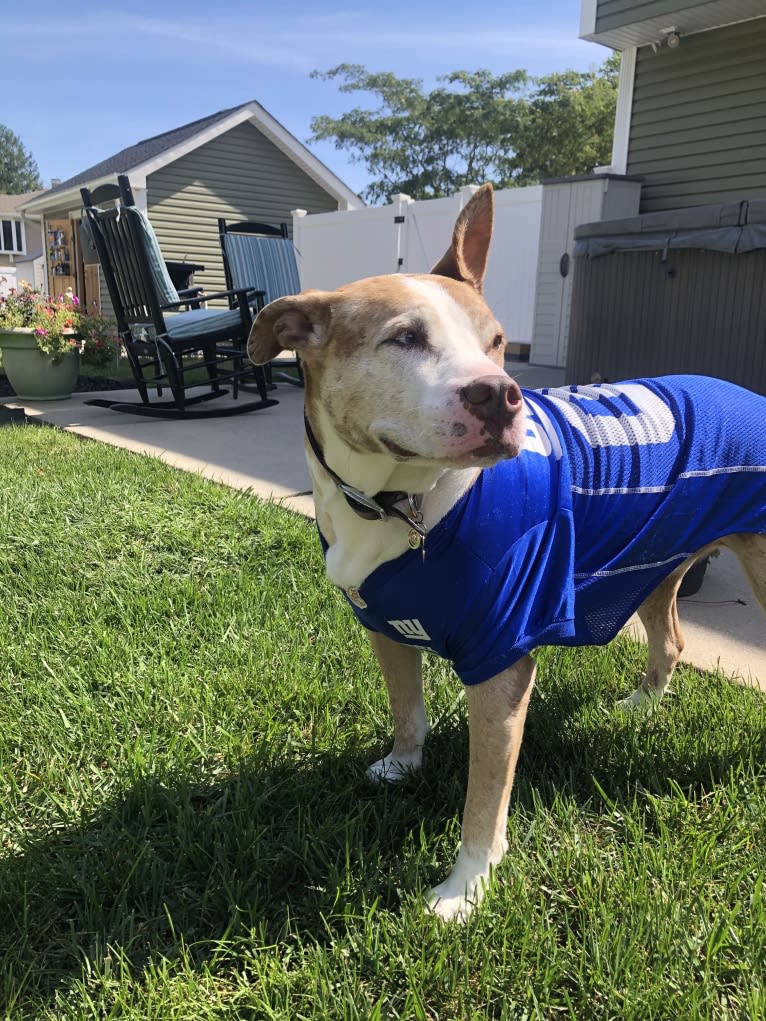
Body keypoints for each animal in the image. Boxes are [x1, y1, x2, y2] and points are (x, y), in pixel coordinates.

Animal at [250, 185, 766, 927]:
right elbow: (406, 708)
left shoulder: (502, 657)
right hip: (654, 562)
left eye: (495, 342)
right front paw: (402, 764)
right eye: (405, 338)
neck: (398, 501)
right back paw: (639, 708)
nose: (500, 393)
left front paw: (464, 888)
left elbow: (484, 795)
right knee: (669, 639)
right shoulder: (385, 626)